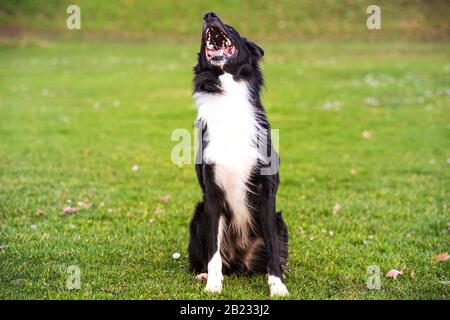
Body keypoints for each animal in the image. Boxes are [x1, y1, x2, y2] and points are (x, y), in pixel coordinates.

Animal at [187, 13, 288, 298]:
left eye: (231, 28)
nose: (209, 14)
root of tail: (241, 262)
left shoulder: (266, 190)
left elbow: (273, 249)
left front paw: (277, 285)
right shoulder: (211, 194)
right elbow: (213, 252)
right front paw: (213, 284)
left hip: (280, 222)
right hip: (198, 216)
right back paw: (203, 274)